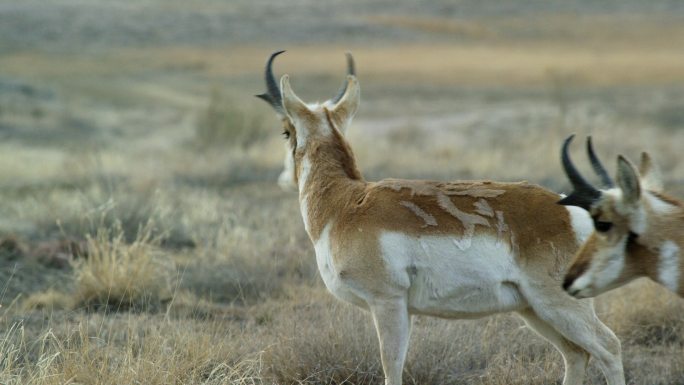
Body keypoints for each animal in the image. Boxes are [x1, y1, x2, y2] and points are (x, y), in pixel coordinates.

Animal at [256, 51, 624, 384]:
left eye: (286, 131)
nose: (282, 179)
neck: (346, 203)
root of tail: (575, 209)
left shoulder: (388, 304)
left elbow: (391, 369)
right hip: (533, 310)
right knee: (576, 354)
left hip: (557, 305)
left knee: (609, 347)